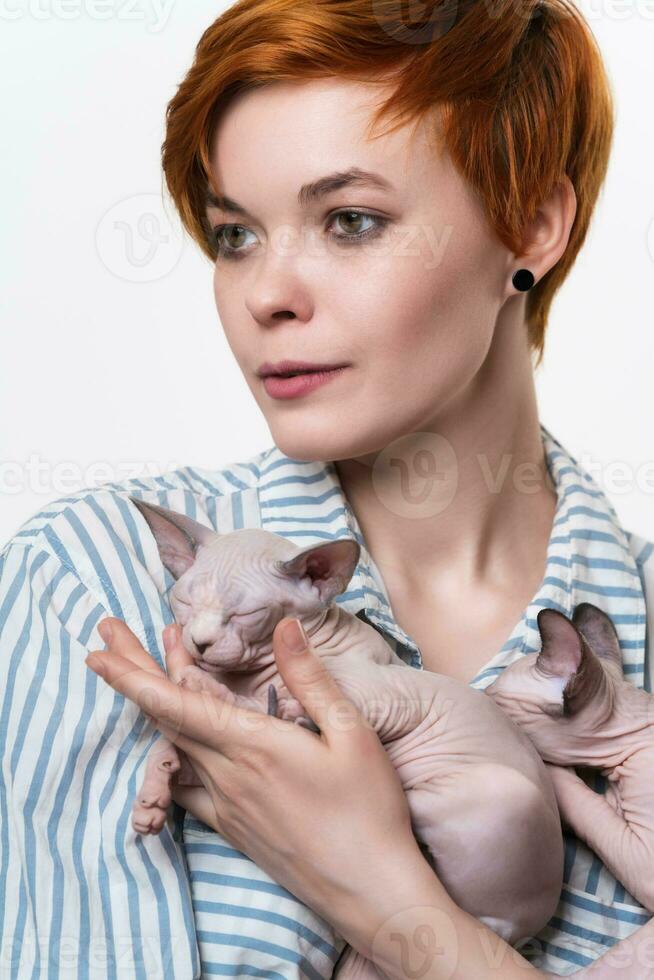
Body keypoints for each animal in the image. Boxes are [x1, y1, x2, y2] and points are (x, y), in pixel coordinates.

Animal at [127, 502, 564, 976]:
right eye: (184, 601)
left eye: (245, 615)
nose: (199, 643)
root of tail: (514, 929)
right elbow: (175, 748)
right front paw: (155, 789)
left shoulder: (382, 697)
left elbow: (259, 706)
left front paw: (215, 692)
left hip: (500, 797)